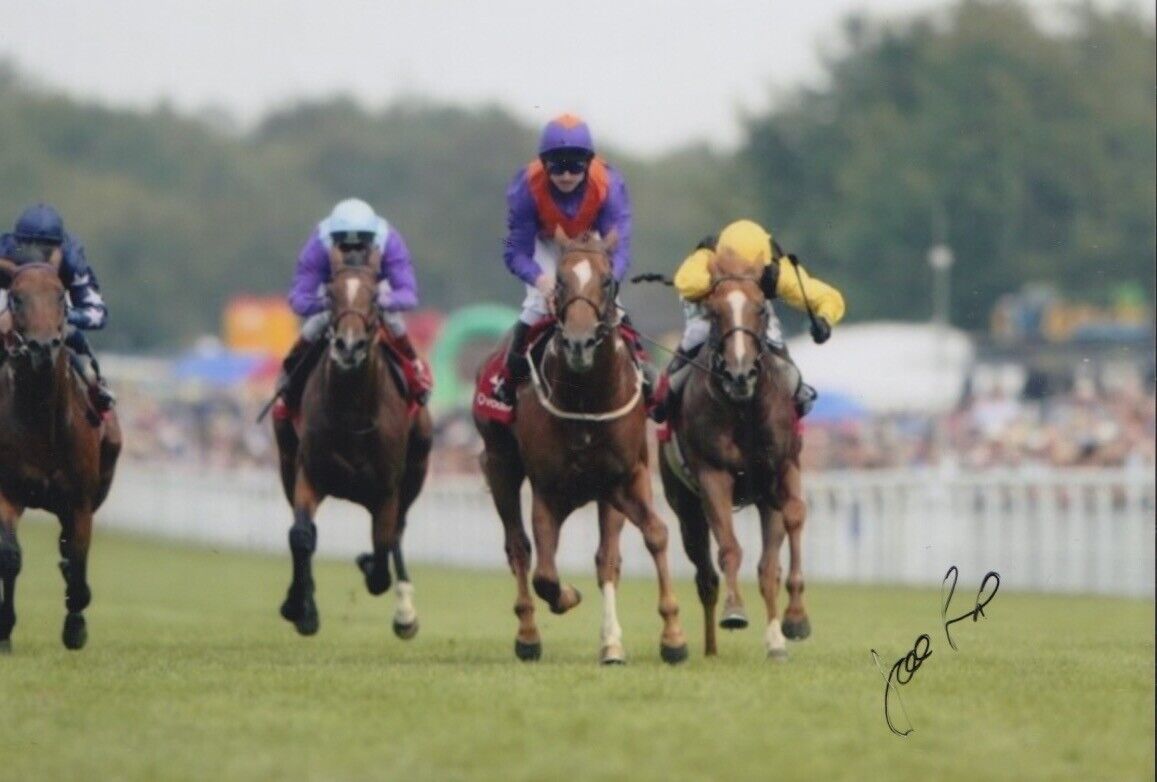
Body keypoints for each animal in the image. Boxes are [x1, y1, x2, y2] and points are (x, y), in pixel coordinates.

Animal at [0, 257, 122, 652]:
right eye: (17, 297)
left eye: (60, 296)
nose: (42, 347)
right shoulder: (8, 492)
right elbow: (10, 557)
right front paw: (5, 630)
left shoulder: (79, 502)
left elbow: (77, 559)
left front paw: (75, 627)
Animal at [271, 253, 435, 638]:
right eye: (331, 294)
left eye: (374, 296)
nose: (348, 345)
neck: (352, 413)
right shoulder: (310, 472)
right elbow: (301, 535)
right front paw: (301, 608)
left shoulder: (387, 489)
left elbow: (381, 560)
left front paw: (371, 566)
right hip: (286, 458)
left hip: (417, 466)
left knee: (397, 532)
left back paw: (404, 611)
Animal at [476, 229, 689, 661]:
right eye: (559, 281)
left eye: (607, 281)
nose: (579, 343)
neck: (586, 397)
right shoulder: (547, 488)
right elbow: (544, 574)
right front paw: (567, 596)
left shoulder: (625, 477)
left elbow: (652, 536)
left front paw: (672, 635)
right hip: (500, 464)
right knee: (519, 548)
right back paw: (528, 633)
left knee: (606, 558)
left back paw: (611, 644)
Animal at [657, 251, 809, 661]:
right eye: (714, 311)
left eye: (760, 308)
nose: (741, 374)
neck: (744, 410)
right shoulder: (713, 475)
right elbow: (729, 549)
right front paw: (735, 610)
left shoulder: (779, 473)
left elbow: (784, 537)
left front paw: (790, 623)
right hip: (685, 507)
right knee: (705, 576)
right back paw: (709, 646)